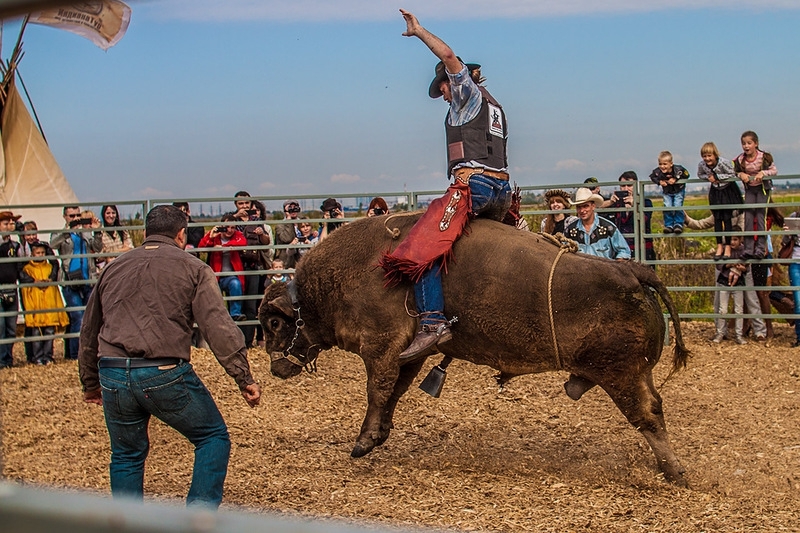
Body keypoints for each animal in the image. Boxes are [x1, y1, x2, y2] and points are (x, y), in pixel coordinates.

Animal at [260, 211, 692, 482]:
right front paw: (380, 433)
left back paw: (675, 473)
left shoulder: (380, 346)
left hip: (622, 375)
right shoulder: (409, 352)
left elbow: (378, 390)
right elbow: (395, 391)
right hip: (633, 374)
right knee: (654, 409)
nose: (274, 368)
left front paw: (363, 442)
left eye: (273, 323)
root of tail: (629, 270)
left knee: (648, 415)